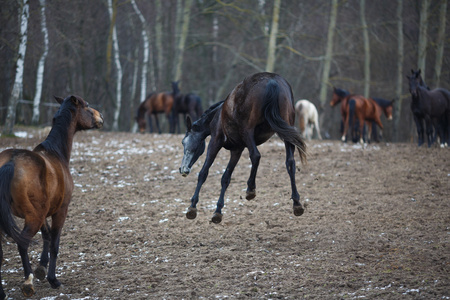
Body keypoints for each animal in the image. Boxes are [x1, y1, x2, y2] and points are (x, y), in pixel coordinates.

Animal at [0, 95, 103, 298]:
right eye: (87, 106)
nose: (100, 117)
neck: (56, 153)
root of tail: (12, 161)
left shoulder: (45, 211)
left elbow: (46, 236)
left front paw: (41, 268)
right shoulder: (60, 211)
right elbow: (55, 243)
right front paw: (52, 279)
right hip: (33, 217)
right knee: (23, 243)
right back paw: (27, 283)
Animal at [178, 72, 308, 223]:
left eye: (184, 142)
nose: (183, 169)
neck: (218, 115)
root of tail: (272, 82)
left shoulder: (215, 142)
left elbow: (203, 173)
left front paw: (192, 207)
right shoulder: (237, 150)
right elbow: (226, 178)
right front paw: (218, 211)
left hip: (248, 131)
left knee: (256, 155)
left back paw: (250, 189)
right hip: (286, 129)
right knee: (290, 162)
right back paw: (297, 203)